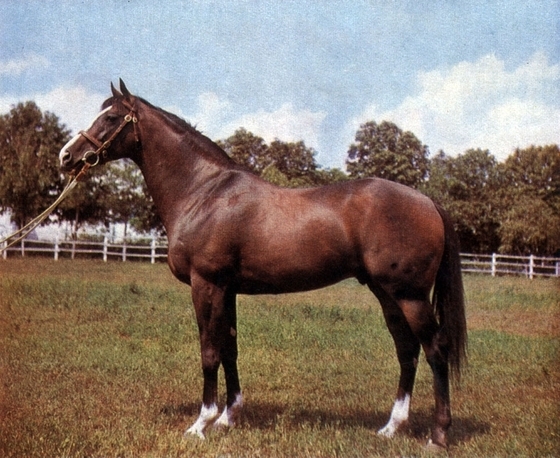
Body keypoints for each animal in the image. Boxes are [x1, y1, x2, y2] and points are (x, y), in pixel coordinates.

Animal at [59, 80, 466, 450]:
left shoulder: (206, 284)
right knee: (407, 350)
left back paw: (439, 434)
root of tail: (428, 201)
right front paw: (228, 417)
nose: (67, 156)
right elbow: (229, 347)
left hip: (410, 295)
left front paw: (201, 423)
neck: (203, 192)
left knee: (435, 349)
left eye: (111, 117)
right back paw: (391, 427)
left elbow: (209, 350)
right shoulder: (227, 290)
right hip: (386, 293)